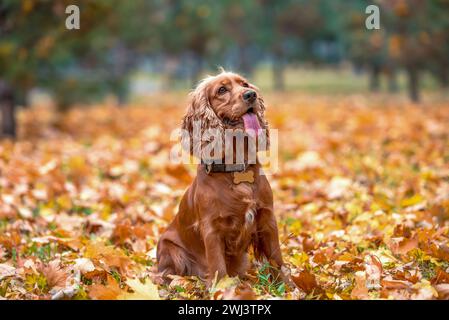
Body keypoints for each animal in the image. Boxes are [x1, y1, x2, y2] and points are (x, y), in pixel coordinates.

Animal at [157, 70, 284, 284]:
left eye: (245, 84)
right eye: (222, 90)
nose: (251, 94)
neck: (235, 168)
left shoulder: (267, 219)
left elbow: (277, 259)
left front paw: (292, 286)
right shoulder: (212, 229)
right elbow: (218, 266)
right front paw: (223, 288)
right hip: (170, 249)